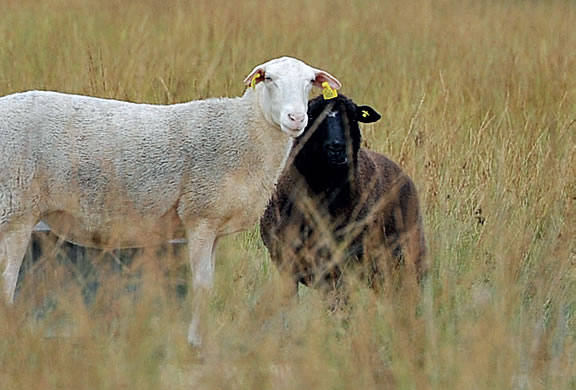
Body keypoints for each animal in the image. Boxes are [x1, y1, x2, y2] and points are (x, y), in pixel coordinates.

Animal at [0, 56, 340, 346]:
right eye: (268, 78)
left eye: (310, 82)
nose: (296, 118)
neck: (243, 131)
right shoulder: (200, 215)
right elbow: (201, 284)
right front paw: (195, 342)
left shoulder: (214, 225)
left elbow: (209, 282)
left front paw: (202, 338)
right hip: (16, 208)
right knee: (8, 278)